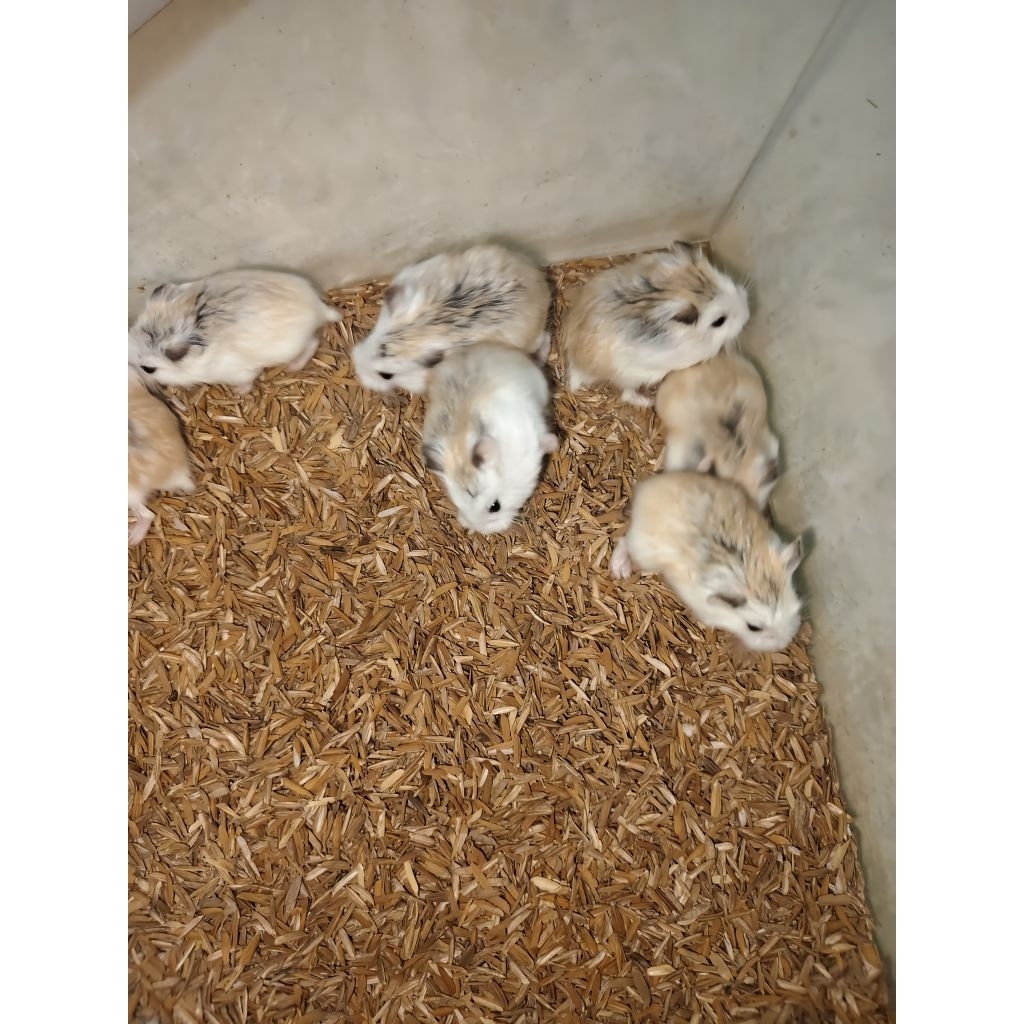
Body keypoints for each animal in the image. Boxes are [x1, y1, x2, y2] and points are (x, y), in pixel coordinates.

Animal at [128, 269, 341, 393]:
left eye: (148, 368)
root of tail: (319, 307)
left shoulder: (238, 372)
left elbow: (246, 382)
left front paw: (238, 392)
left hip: (293, 346)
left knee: (313, 343)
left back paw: (293, 367)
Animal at [351, 243, 552, 395]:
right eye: (372, 337)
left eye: (386, 375)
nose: (358, 370)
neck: (421, 328)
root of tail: (542, 283)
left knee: (546, 338)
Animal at [561, 241, 749, 406]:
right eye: (719, 321)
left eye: (731, 284)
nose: (747, 315)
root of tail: (577, 363)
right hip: (631, 377)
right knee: (627, 395)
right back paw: (649, 402)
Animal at [610, 471, 804, 652]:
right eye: (753, 628)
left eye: (797, 608)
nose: (782, 644)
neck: (752, 578)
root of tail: (646, 490)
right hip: (643, 550)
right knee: (624, 541)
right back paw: (620, 570)